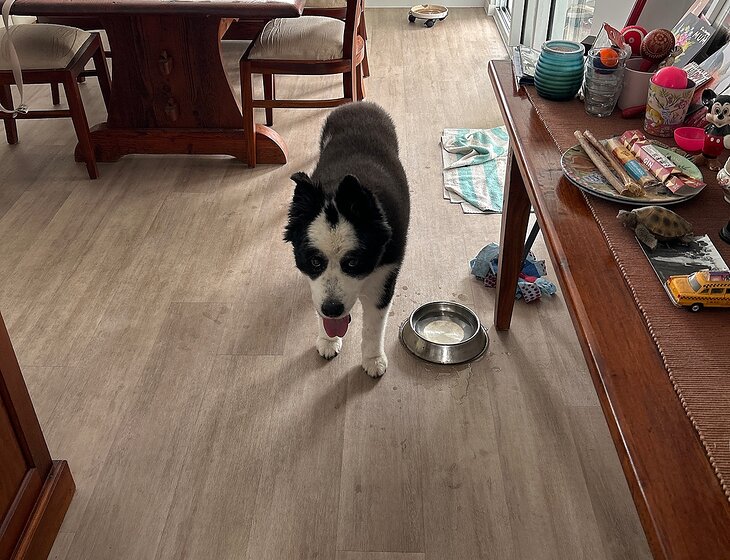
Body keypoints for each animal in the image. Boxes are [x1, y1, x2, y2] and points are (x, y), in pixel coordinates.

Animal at [284, 102, 410, 377]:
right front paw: (328, 341)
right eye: (314, 261)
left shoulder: (384, 275)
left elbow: (374, 324)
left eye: (353, 263)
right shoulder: (318, 288)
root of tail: (359, 104)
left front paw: (373, 359)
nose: (333, 309)